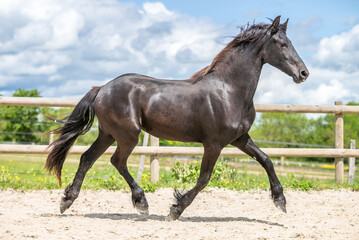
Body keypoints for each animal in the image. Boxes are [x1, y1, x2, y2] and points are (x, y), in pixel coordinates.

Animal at [45, 15, 310, 220]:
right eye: (282, 44)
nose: (303, 73)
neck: (229, 90)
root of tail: (102, 88)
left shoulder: (240, 138)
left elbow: (266, 160)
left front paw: (280, 201)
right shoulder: (214, 143)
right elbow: (204, 179)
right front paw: (176, 209)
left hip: (108, 133)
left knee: (87, 159)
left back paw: (66, 201)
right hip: (128, 134)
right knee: (116, 161)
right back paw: (141, 203)